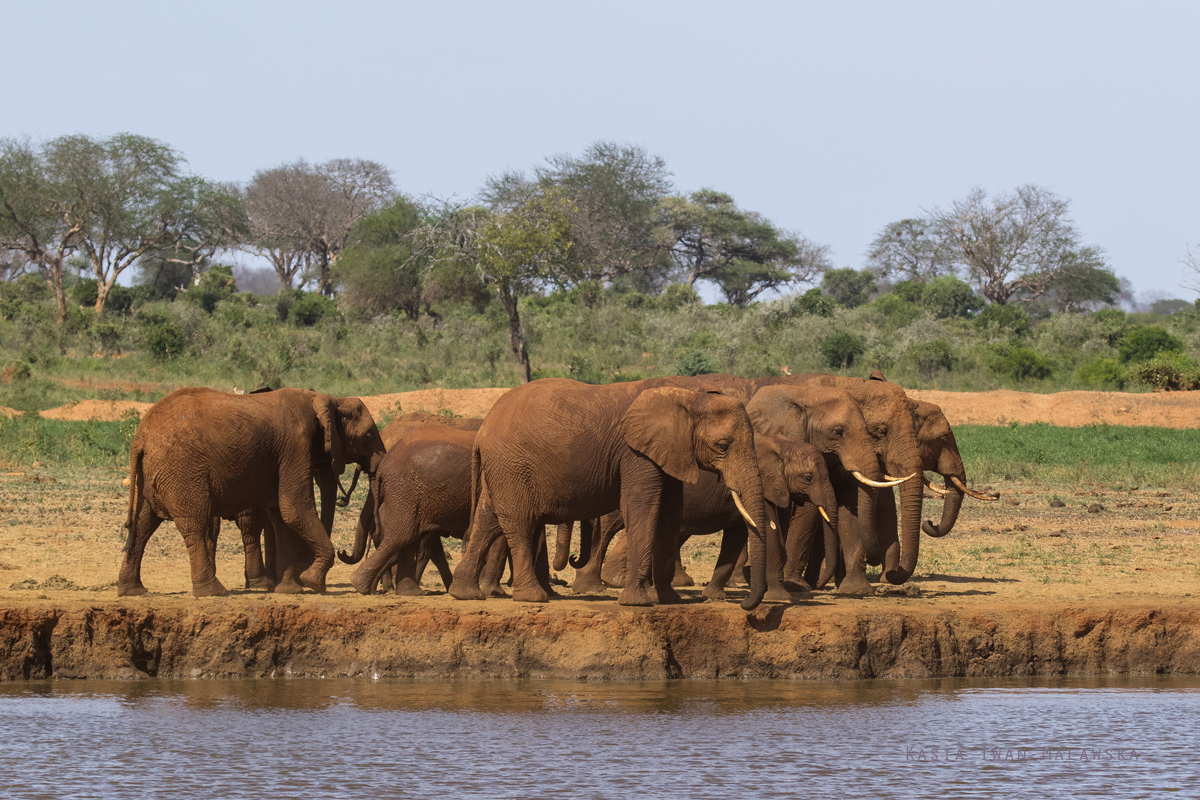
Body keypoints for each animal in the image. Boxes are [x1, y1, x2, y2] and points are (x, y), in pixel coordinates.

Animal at [448, 379, 768, 609]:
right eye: (722, 446)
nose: (745, 605)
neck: (689, 397)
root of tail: (482, 429)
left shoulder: (669, 453)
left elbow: (669, 514)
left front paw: (669, 601)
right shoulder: (635, 453)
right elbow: (643, 508)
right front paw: (638, 603)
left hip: (501, 468)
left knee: (488, 520)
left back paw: (465, 594)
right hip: (512, 466)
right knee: (519, 522)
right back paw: (533, 598)